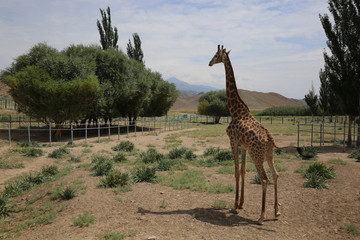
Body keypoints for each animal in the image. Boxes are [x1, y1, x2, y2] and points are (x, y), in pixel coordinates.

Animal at [208, 44, 282, 223]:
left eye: (216, 55)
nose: (209, 63)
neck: (235, 111)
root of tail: (270, 139)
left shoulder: (233, 142)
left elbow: (235, 171)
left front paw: (234, 206)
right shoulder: (244, 146)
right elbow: (242, 171)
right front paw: (241, 203)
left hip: (257, 155)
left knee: (264, 178)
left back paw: (262, 216)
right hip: (269, 154)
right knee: (275, 175)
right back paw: (276, 211)